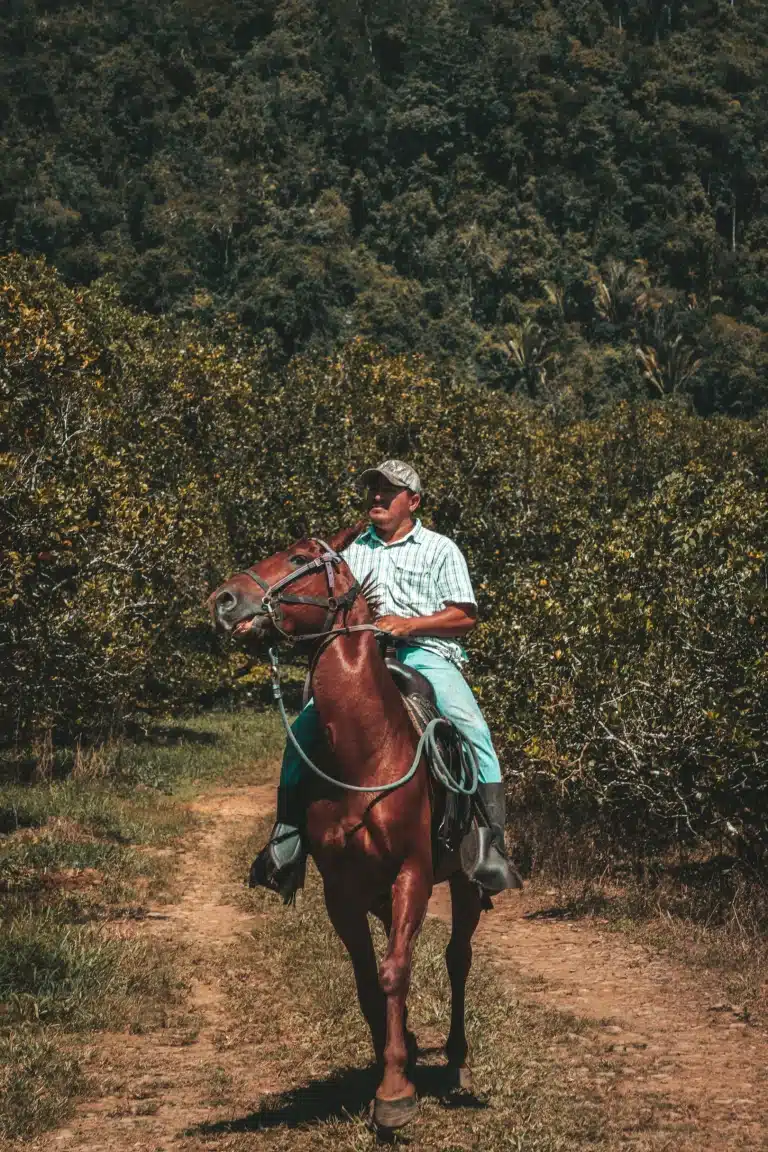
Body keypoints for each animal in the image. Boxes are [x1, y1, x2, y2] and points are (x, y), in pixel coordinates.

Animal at [207, 527, 490, 1128]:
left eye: (298, 557)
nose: (223, 600)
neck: (367, 752)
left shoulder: (413, 872)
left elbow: (395, 971)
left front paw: (395, 1094)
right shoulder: (340, 888)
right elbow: (367, 982)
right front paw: (392, 1062)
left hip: (464, 882)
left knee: (458, 959)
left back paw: (458, 1063)